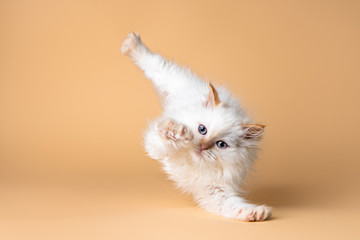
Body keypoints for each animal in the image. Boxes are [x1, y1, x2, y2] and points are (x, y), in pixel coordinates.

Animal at [121, 31, 270, 221]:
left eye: (221, 144)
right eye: (202, 129)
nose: (202, 146)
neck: (194, 162)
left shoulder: (216, 191)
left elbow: (235, 207)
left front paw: (256, 213)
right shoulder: (155, 144)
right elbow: (168, 136)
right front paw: (179, 132)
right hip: (172, 77)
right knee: (155, 63)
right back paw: (131, 44)